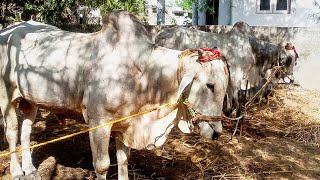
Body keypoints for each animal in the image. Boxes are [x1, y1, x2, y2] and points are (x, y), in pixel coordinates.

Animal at [0, 10, 230, 179]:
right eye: (210, 85)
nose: (216, 133)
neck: (145, 73)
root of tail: (9, 28)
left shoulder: (125, 125)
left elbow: (123, 160)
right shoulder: (98, 122)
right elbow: (102, 165)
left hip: (30, 100)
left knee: (26, 131)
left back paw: (30, 169)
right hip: (7, 96)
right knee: (12, 133)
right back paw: (17, 171)